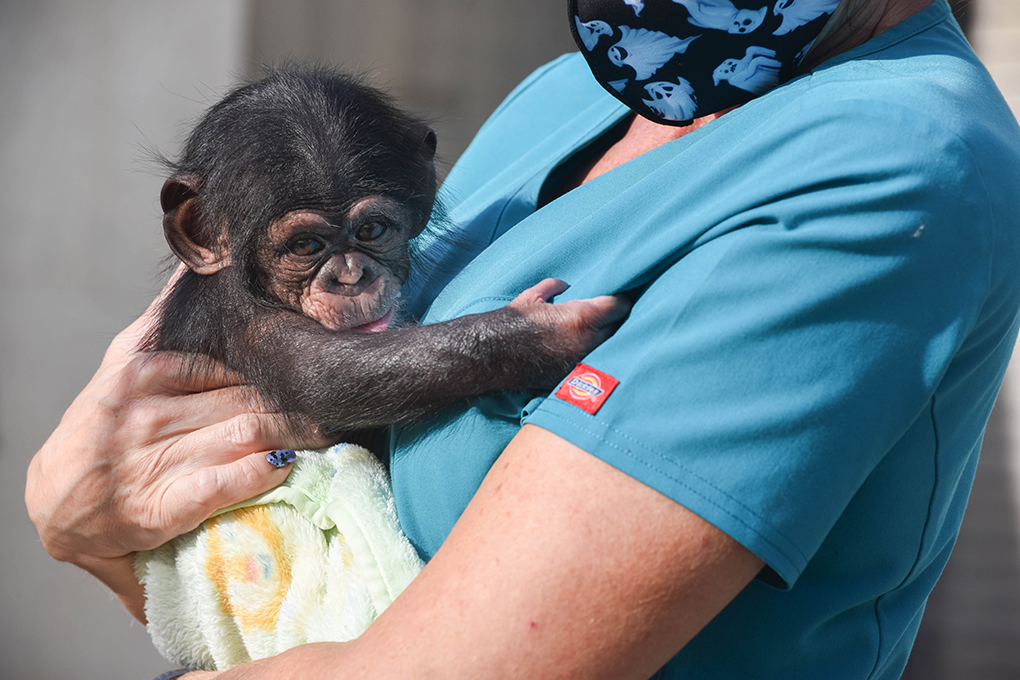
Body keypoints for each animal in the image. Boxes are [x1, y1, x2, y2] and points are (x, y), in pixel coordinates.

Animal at [133, 66, 620, 672]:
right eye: (307, 244)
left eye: (370, 232)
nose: (350, 276)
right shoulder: (237, 317)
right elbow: (330, 375)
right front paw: (542, 331)